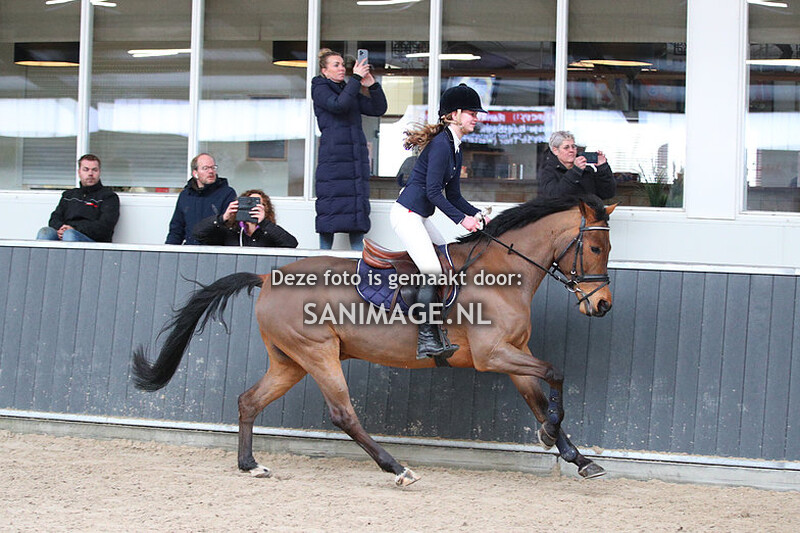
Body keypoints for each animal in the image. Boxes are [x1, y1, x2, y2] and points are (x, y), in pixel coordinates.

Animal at [132, 194, 616, 486]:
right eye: (595, 249)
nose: (603, 306)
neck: (501, 272)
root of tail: (268, 277)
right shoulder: (493, 355)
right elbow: (556, 373)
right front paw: (549, 433)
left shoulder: (516, 353)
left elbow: (539, 394)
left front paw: (574, 455)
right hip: (318, 354)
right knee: (343, 414)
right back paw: (397, 468)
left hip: (289, 361)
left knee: (249, 401)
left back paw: (251, 464)